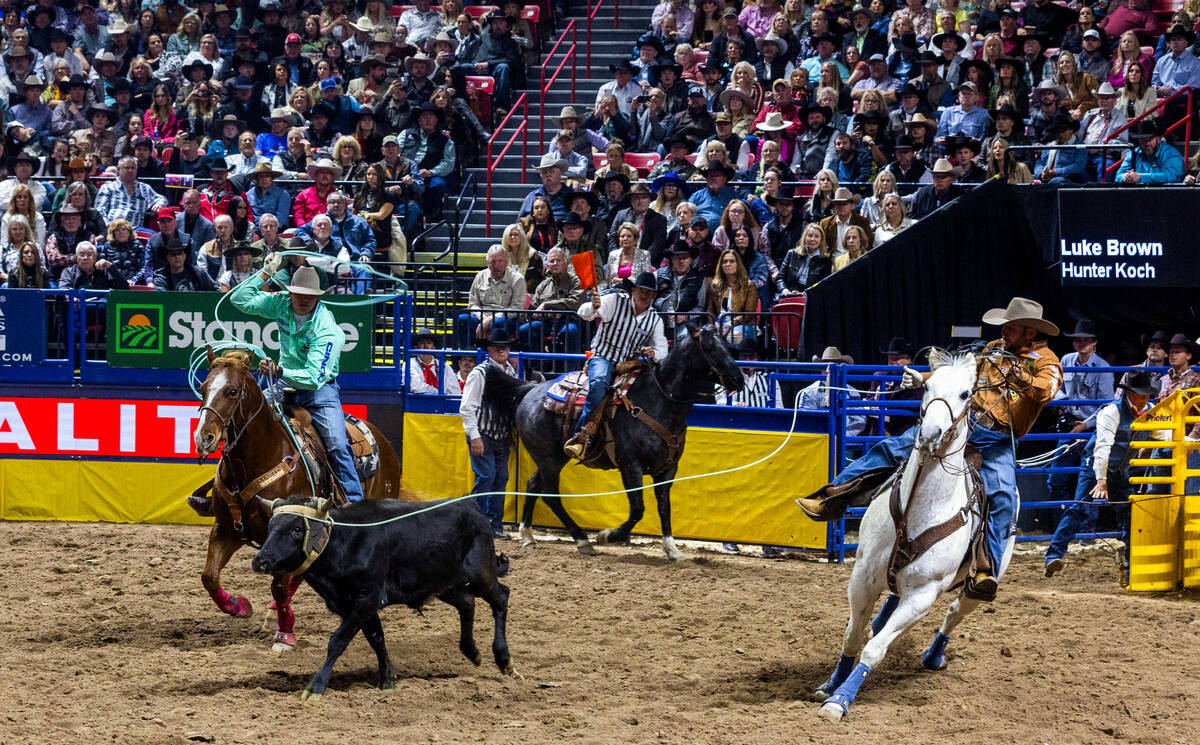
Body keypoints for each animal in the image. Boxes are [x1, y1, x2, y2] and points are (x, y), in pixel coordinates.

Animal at [192, 350, 405, 652]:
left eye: (232, 391)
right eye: (202, 388)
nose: (203, 437)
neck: (259, 458)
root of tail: (384, 445)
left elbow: (279, 586)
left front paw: (285, 635)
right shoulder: (225, 530)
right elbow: (209, 577)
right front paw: (240, 606)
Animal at [477, 321, 739, 561]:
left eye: (728, 346)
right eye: (709, 347)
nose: (737, 378)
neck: (658, 401)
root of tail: (529, 388)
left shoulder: (667, 468)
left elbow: (664, 507)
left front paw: (671, 548)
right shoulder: (630, 465)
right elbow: (638, 509)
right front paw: (608, 535)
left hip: (554, 457)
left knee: (533, 484)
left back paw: (528, 535)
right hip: (548, 457)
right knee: (551, 494)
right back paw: (582, 539)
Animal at [816, 352, 1012, 724]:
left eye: (966, 394)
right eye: (927, 387)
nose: (931, 433)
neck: (918, 511)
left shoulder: (922, 594)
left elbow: (874, 649)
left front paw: (840, 701)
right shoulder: (863, 576)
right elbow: (853, 636)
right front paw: (831, 684)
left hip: (979, 584)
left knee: (954, 613)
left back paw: (933, 656)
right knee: (890, 606)